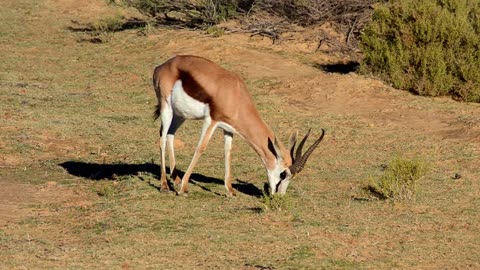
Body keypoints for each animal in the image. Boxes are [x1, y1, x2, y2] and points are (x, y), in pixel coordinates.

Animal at [153, 54, 326, 196]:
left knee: (170, 135)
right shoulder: (211, 121)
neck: (235, 94)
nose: (279, 196)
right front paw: (183, 189)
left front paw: (230, 191)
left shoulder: (228, 129)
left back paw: (175, 179)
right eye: (283, 174)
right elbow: (200, 148)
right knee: (162, 138)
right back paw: (165, 186)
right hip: (167, 108)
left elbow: (228, 152)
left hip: (180, 114)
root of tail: (162, 66)